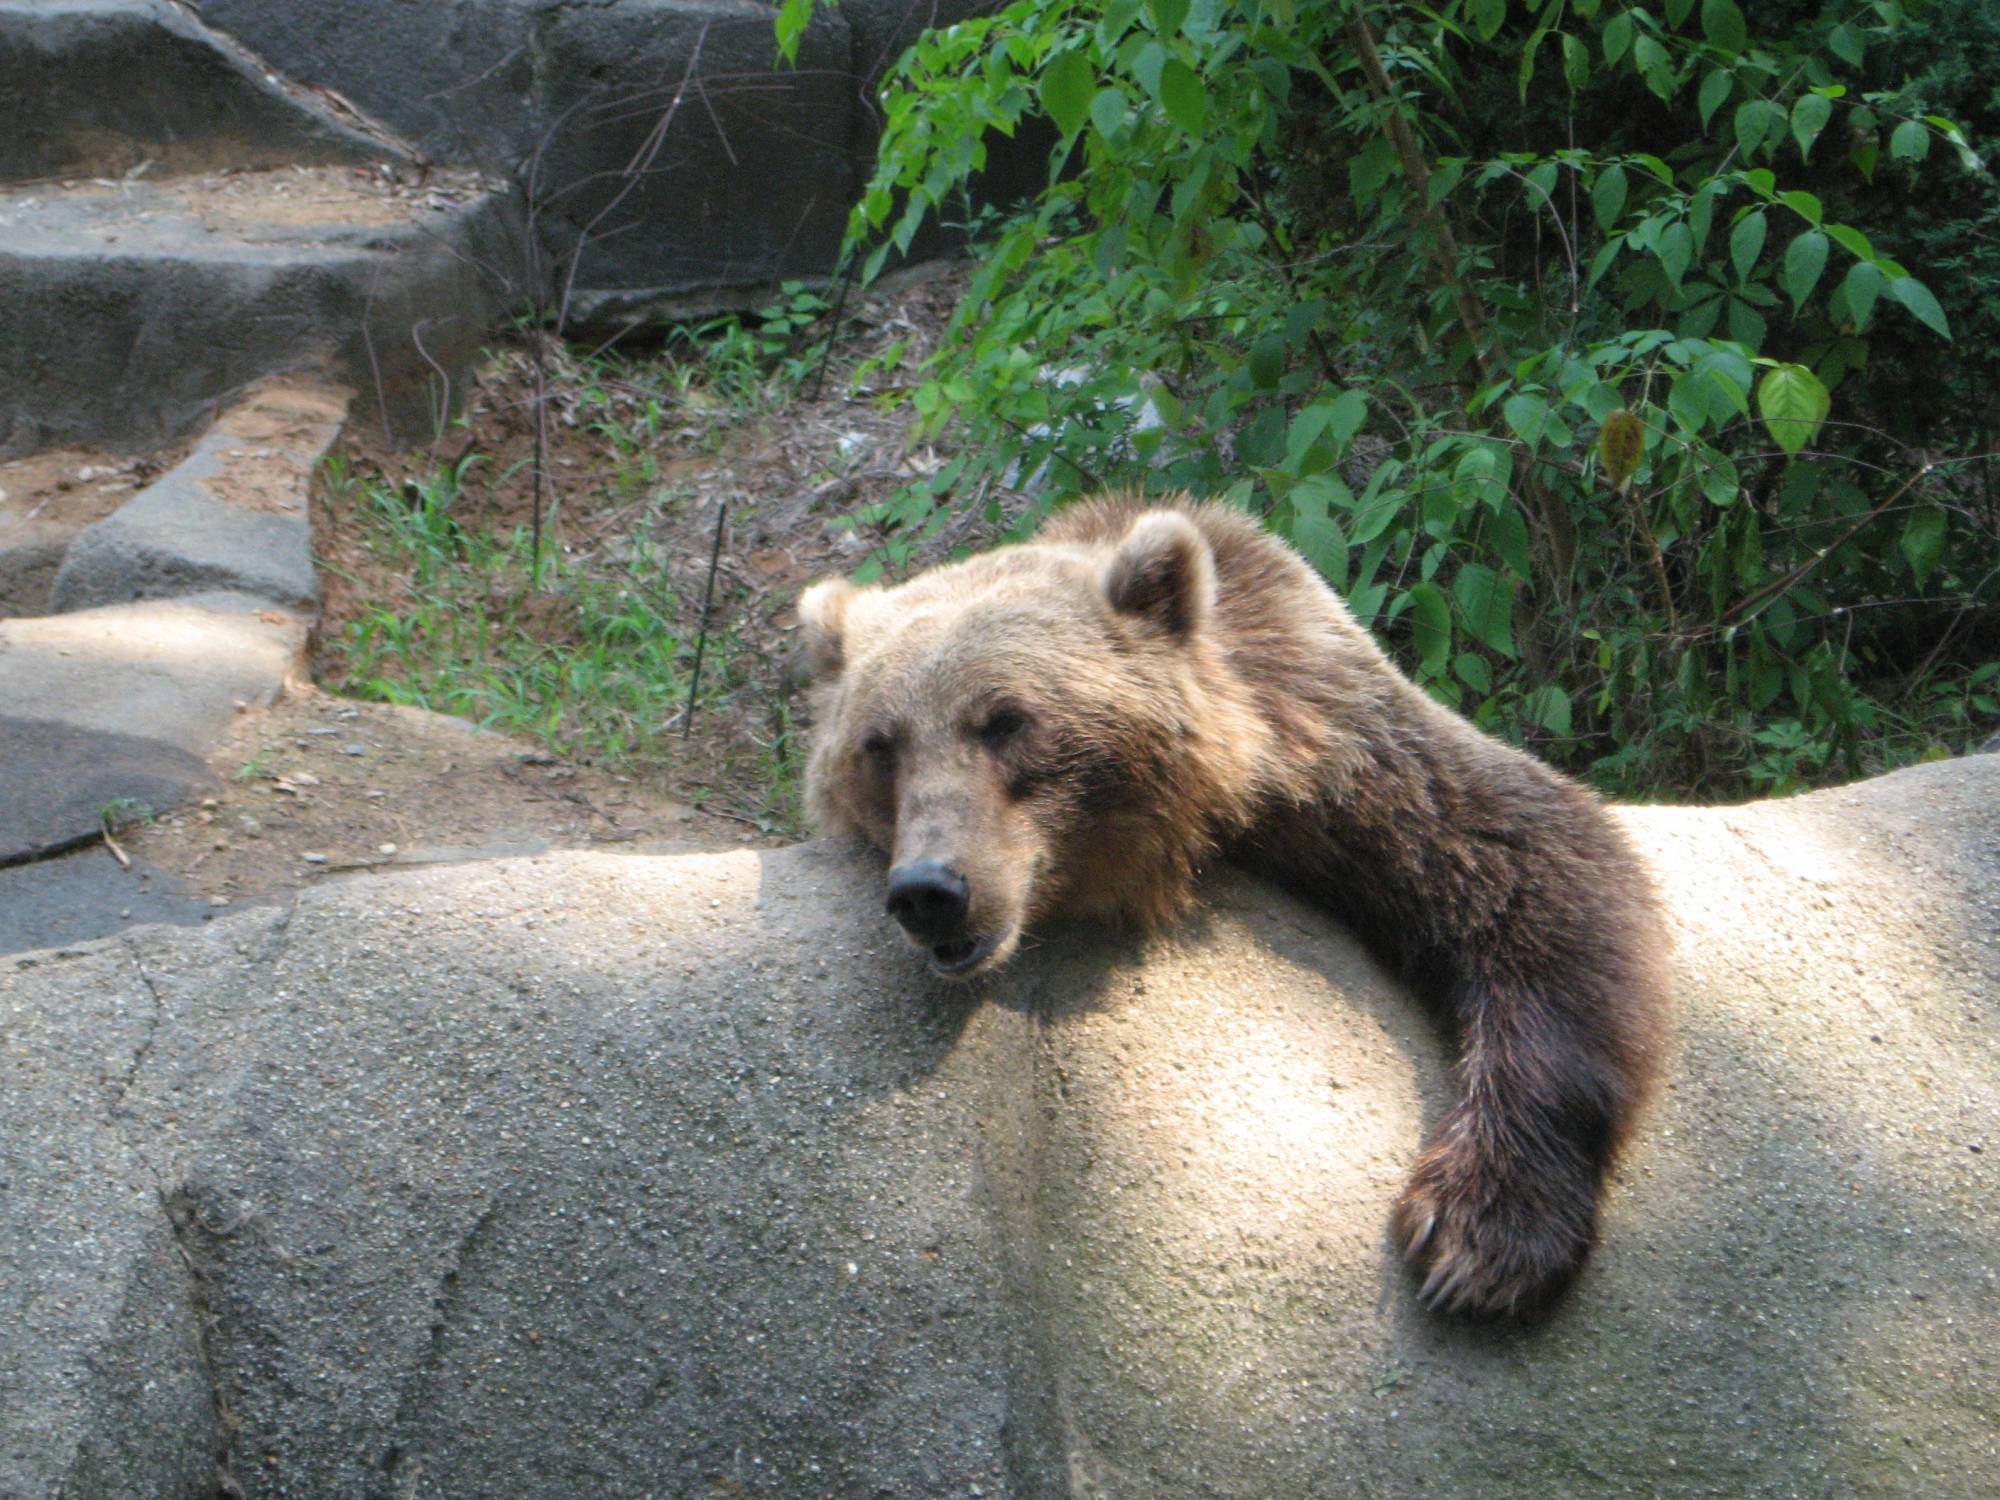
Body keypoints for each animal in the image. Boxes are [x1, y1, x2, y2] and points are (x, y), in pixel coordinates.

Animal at [796, 500, 1672, 1320]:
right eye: (880, 746)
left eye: (1006, 719)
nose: (932, 891)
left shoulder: (1337, 728)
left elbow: (1527, 862)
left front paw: (1481, 1233)